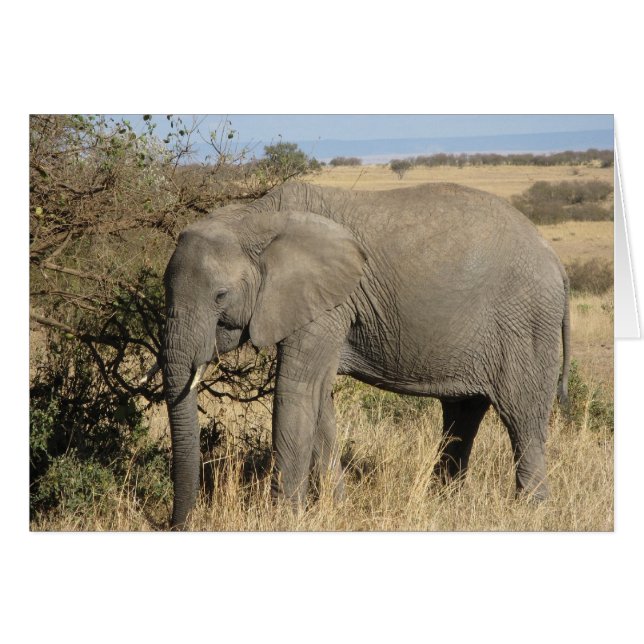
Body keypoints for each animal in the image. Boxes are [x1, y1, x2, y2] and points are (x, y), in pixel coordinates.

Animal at [162, 181, 570, 529]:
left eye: (220, 296)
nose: (176, 525)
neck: (254, 217)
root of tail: (556, 259)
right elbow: (320, 399)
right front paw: (336, 510)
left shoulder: (328, 303)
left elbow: (296, 392)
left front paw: (282, 520)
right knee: (462, 415)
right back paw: (446, 503)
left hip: (526, 323)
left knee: (522, 418)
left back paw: (530, 512)